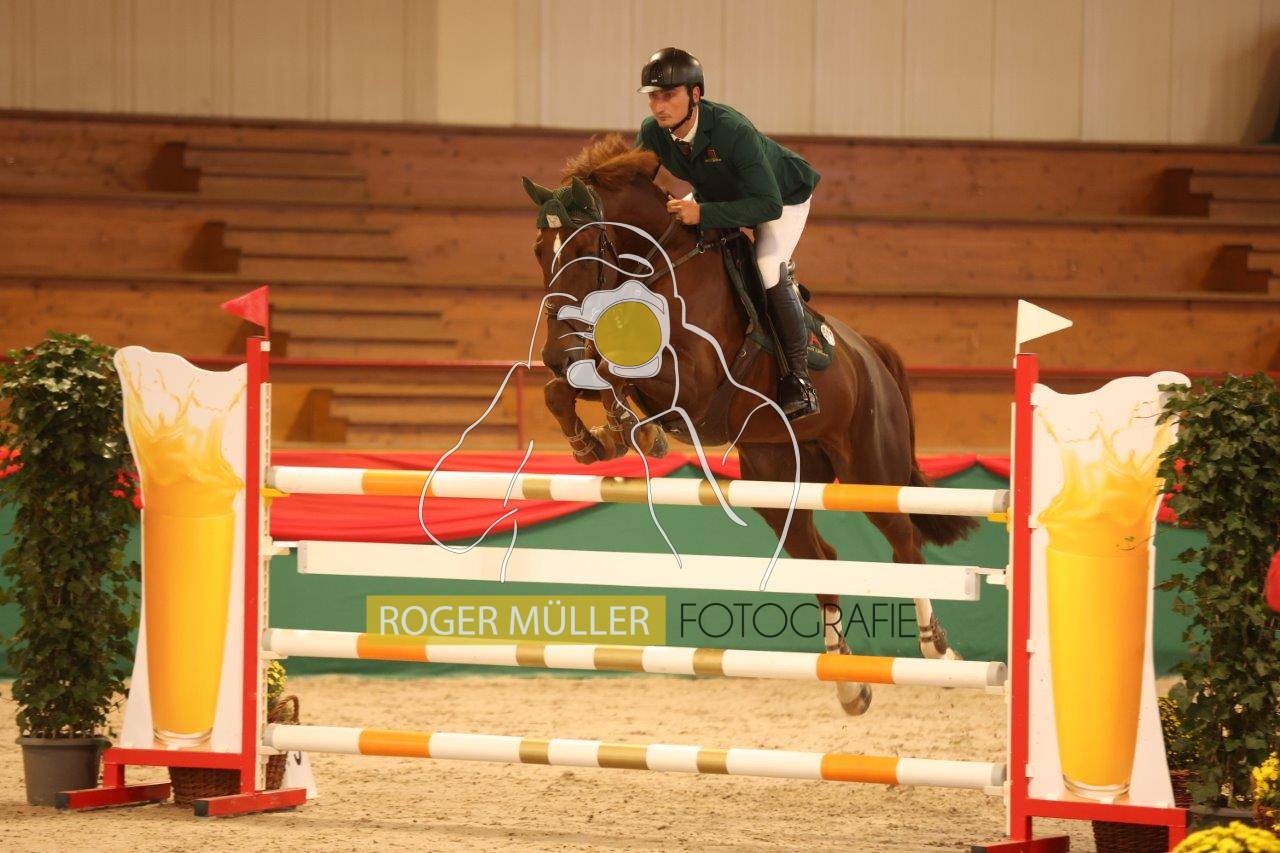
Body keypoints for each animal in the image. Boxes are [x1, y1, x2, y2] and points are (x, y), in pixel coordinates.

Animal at [521, 134, 977, 716]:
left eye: (582, 251)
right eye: (540, 251)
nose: (554, 354)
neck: (660, 265)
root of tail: (869, 355)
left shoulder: (693, 381)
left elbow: (616, 372)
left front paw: (632, 429)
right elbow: (570, 386)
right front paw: (596, 440)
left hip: (871, 470)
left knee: (905, 546)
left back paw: (937, 650)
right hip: (776, 478)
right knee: (820, 555)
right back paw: (849, 683)